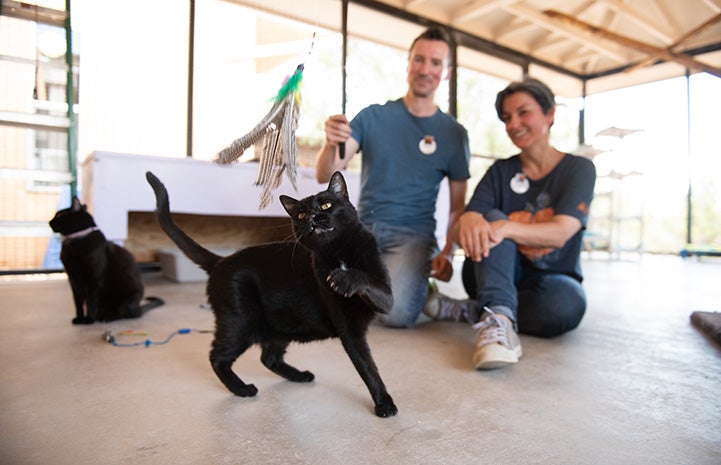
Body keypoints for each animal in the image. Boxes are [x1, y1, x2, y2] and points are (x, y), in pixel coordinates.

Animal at [143, 169, 396, 416]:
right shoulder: (348, 328)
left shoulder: (387, 298)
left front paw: (343, 277)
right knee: (218, 357)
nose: (312, 218)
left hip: (283, 325)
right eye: (301, 216)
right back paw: (243, 389)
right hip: (241, 322)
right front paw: (384, 404)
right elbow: (367, 366)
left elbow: (367, 284)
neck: (338, 251)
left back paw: (300, 376)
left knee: (268, 358)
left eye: (326, 205)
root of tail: (220, 261)